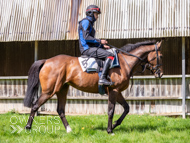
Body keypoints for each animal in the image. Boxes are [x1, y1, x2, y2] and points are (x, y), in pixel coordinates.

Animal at [23, 40, 163, 134]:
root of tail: (47, 61)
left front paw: (115, 125)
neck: (124, 63)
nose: (160, 73)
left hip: (62, 90)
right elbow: (111, 111)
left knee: (60, 110)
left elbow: (127, 108)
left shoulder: (117, 92)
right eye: (161, 56)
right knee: (35, 106)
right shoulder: (114, 91)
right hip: (49, 91)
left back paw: (69, 129)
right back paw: (28, 127)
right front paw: (109, 130)